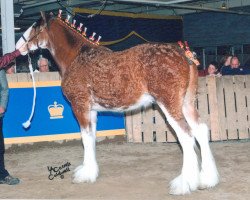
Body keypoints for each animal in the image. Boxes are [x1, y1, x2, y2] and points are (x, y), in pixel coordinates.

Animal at [16, 11, 219, 195]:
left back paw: (184, 184)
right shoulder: (92, 111)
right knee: (200, 130)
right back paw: (207, 180)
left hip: (169, 104)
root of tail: (184, 54)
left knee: (186, 135)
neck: (77, 56)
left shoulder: (80, 106)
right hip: (186, 103)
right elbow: (91, 138)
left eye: (35, 26)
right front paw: (90, 171)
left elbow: (85, 137)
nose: (18, 46)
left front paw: (85, 175)